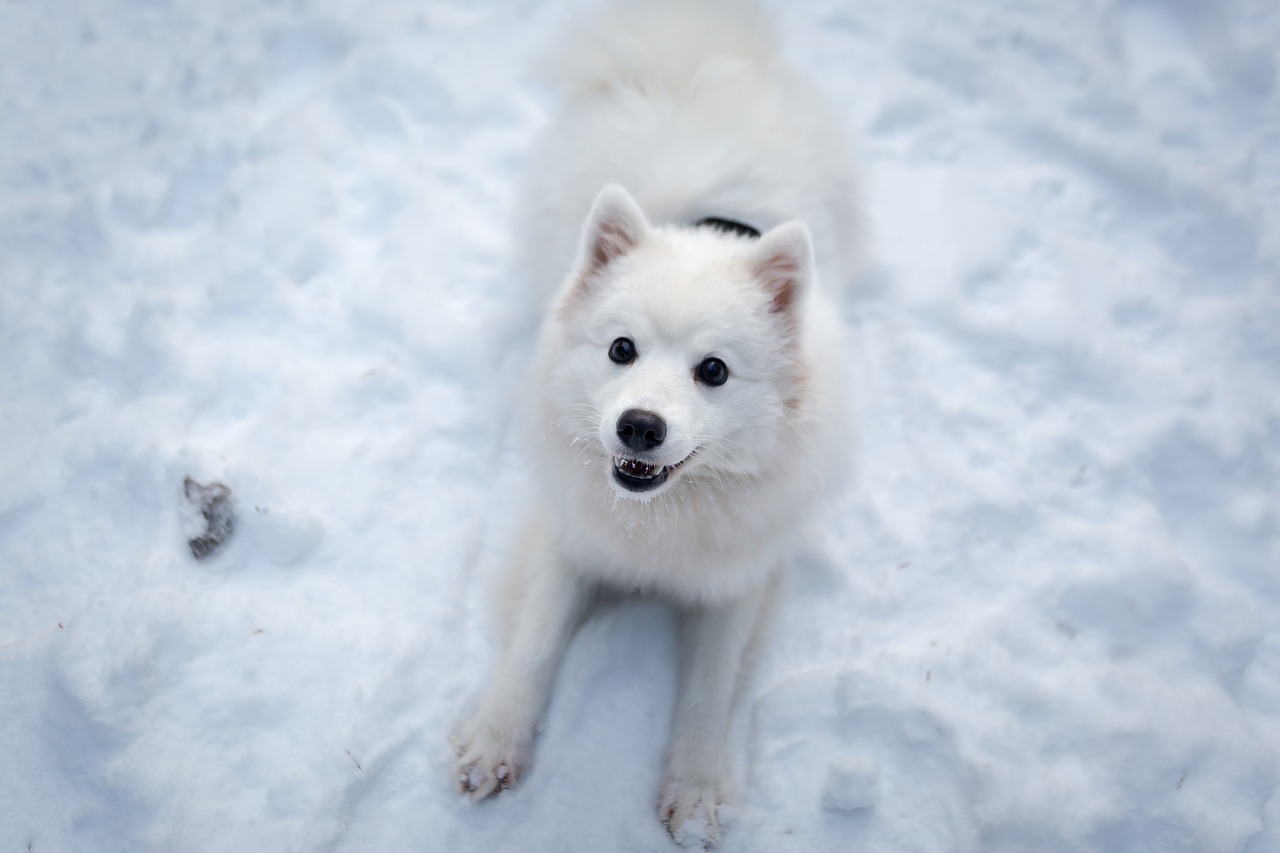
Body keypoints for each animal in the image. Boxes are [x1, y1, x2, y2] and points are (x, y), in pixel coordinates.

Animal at [450, 0, 860, 840]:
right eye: (621, 349)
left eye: (714, 371)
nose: (639, 426)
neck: (661, 521)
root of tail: (693, 51)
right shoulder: (568, 541)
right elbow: (533, 643)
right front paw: (494, 741)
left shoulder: (738, 580)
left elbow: (709, 691)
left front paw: (696, 793)